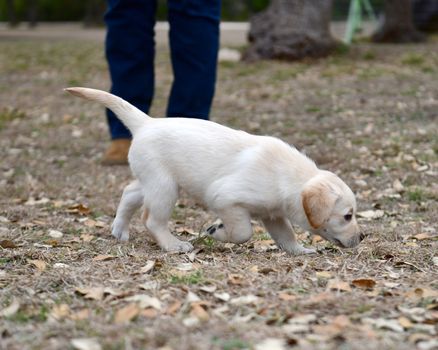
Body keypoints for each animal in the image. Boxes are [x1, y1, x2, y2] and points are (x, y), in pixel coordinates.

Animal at [66, 87, 362, 254]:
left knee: (129, 192)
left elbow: (285, 235)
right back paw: (173, 246)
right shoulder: (226, 199)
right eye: (347, 216)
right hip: (164, 187)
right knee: (151, 219)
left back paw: (119, 230)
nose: (363, 236)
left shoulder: (273, 215)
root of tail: (147, 123)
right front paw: (217, 232)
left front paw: (300, 250)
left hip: (151, 180)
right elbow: (243, 233)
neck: (287, 177)